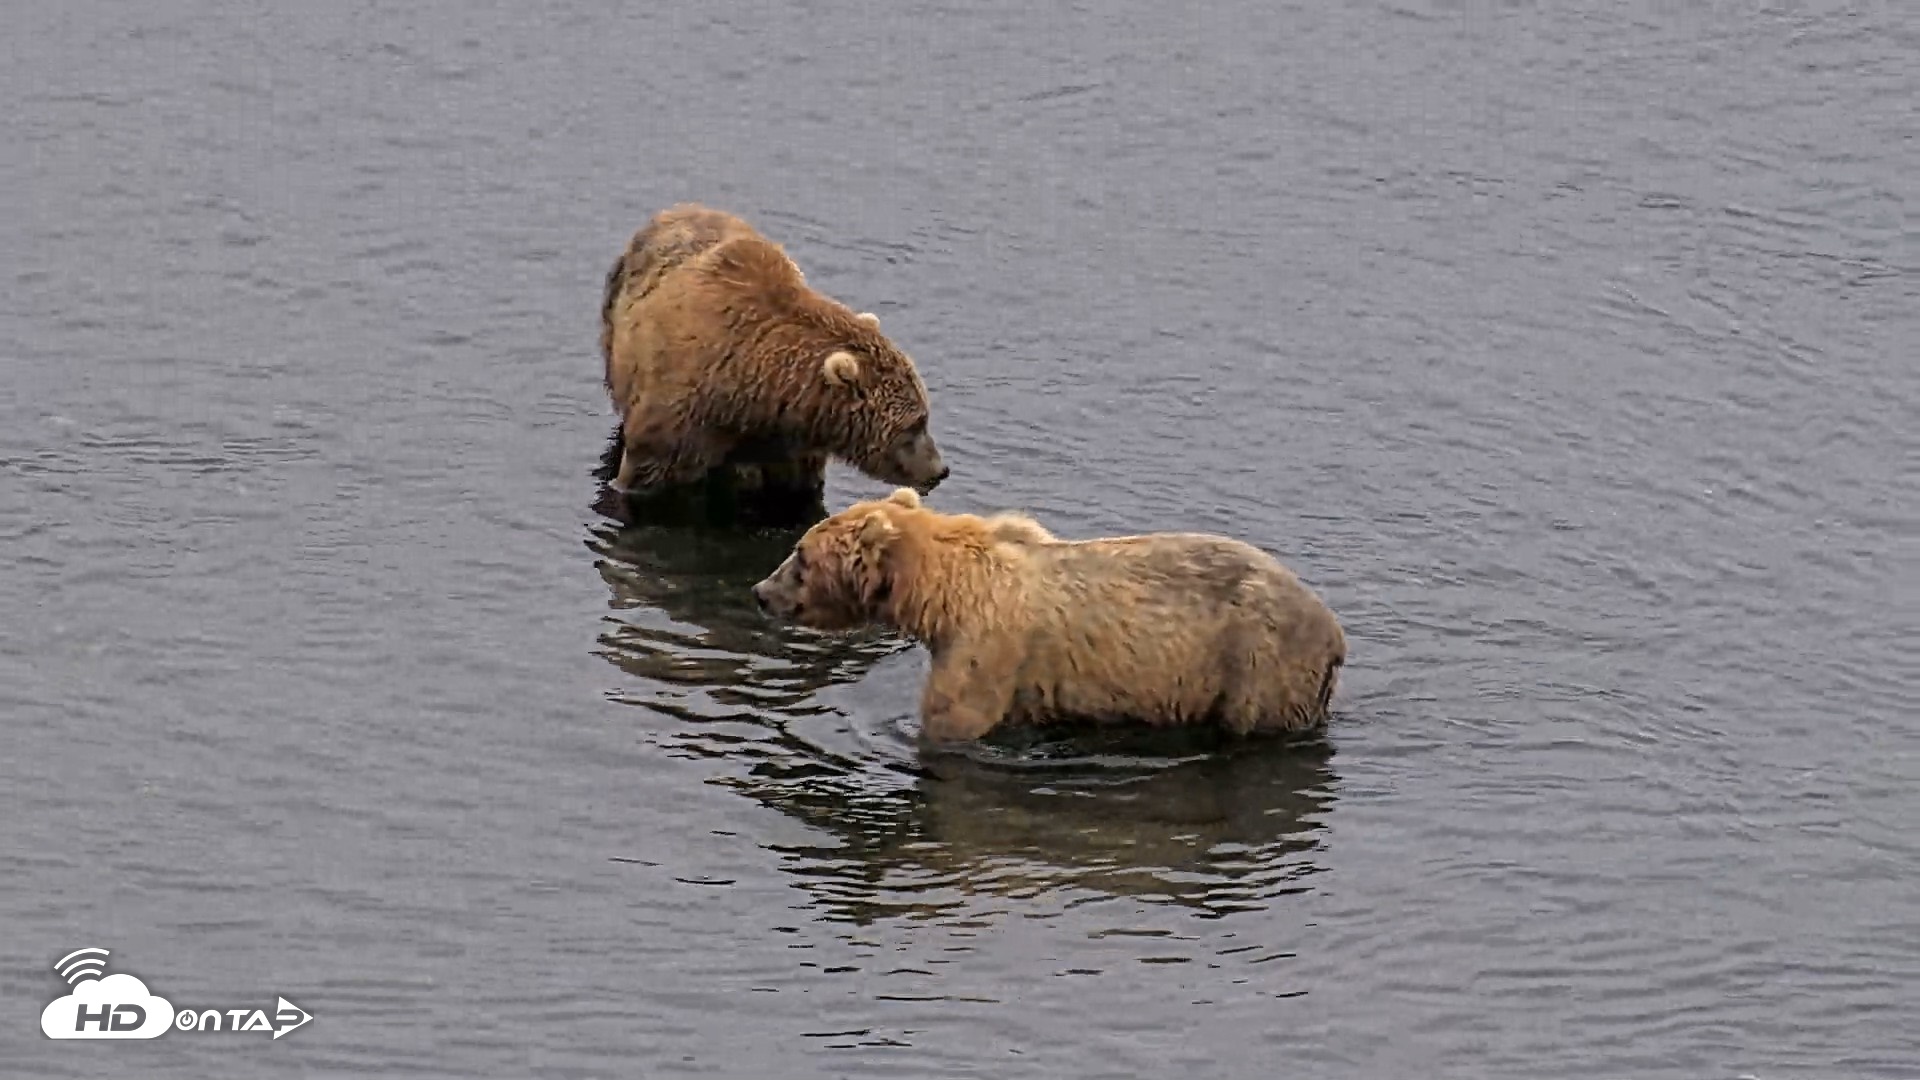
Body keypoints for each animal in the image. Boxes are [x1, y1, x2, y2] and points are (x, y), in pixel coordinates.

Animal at [598, 203, 948, 504]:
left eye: (924, 416)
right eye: (915, 424)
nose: (940, 470)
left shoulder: (790, 443)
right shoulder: (680, 419)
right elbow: (645, 474)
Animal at [749, 488, 1348, 745]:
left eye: (800, 556)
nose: (759, 591)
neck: (944, 592)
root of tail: (1335, 633)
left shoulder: (985, 648)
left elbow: (954, 719)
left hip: (1258, 665)